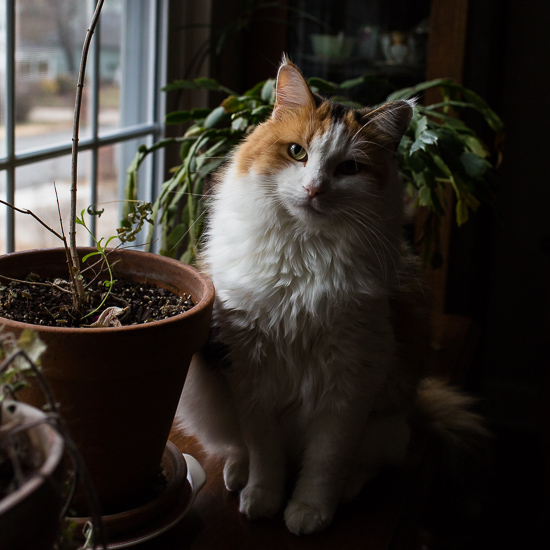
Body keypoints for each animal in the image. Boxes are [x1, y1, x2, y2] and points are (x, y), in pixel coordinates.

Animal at [178, 58, 488, 536]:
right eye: (296, 153)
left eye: (348, 169)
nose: (314, 189)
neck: (304, 257)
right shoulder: (252, 375)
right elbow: (265, 454)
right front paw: (262, 498)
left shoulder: (350, 381)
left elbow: (325, 461)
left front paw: (309, 511)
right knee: (239, 447)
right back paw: (237, 474)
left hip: (386, 421)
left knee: (366, 463)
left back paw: (344, 490)